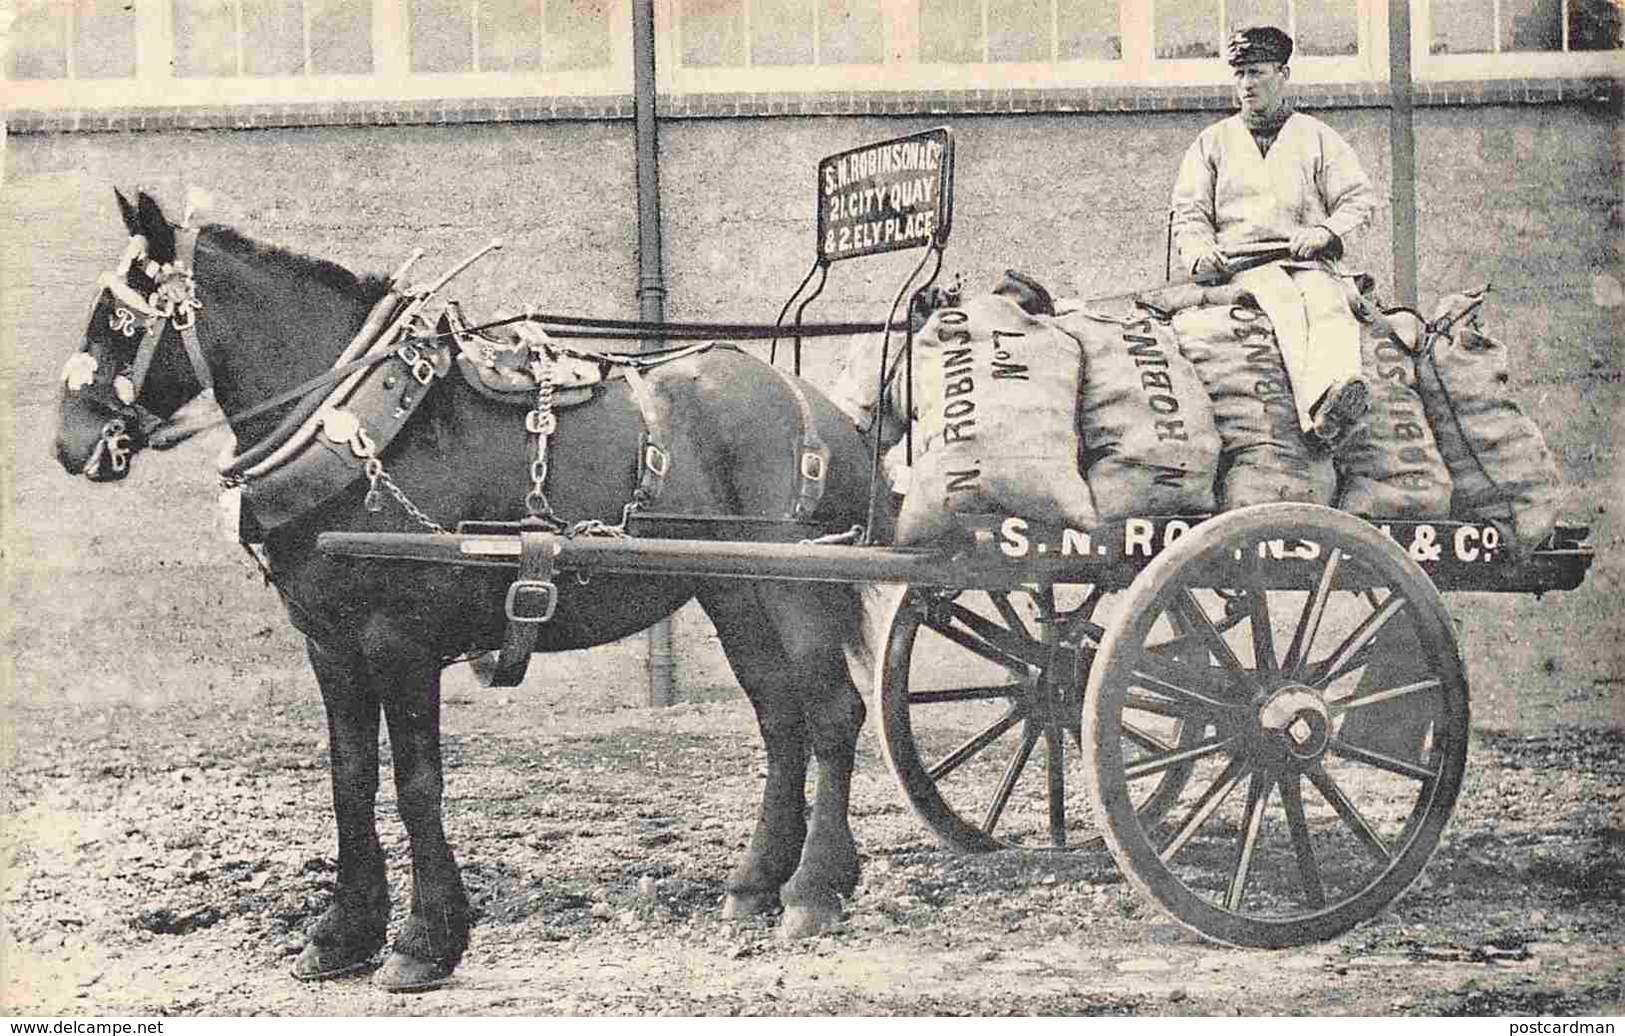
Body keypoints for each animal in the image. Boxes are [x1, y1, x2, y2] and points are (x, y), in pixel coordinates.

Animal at [57, 190, 890, 993]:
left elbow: (416, 782)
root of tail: (821, 407)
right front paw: (342, 934)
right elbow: (350, 778)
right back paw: (756, 884)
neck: (356, 424)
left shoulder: (400, 641)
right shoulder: (330, 645)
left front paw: (425, 943)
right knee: (780, 721)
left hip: (798, 589)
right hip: (735, 593)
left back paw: (814, 890)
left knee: (831, 715)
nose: (69, 444)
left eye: (122, 318)